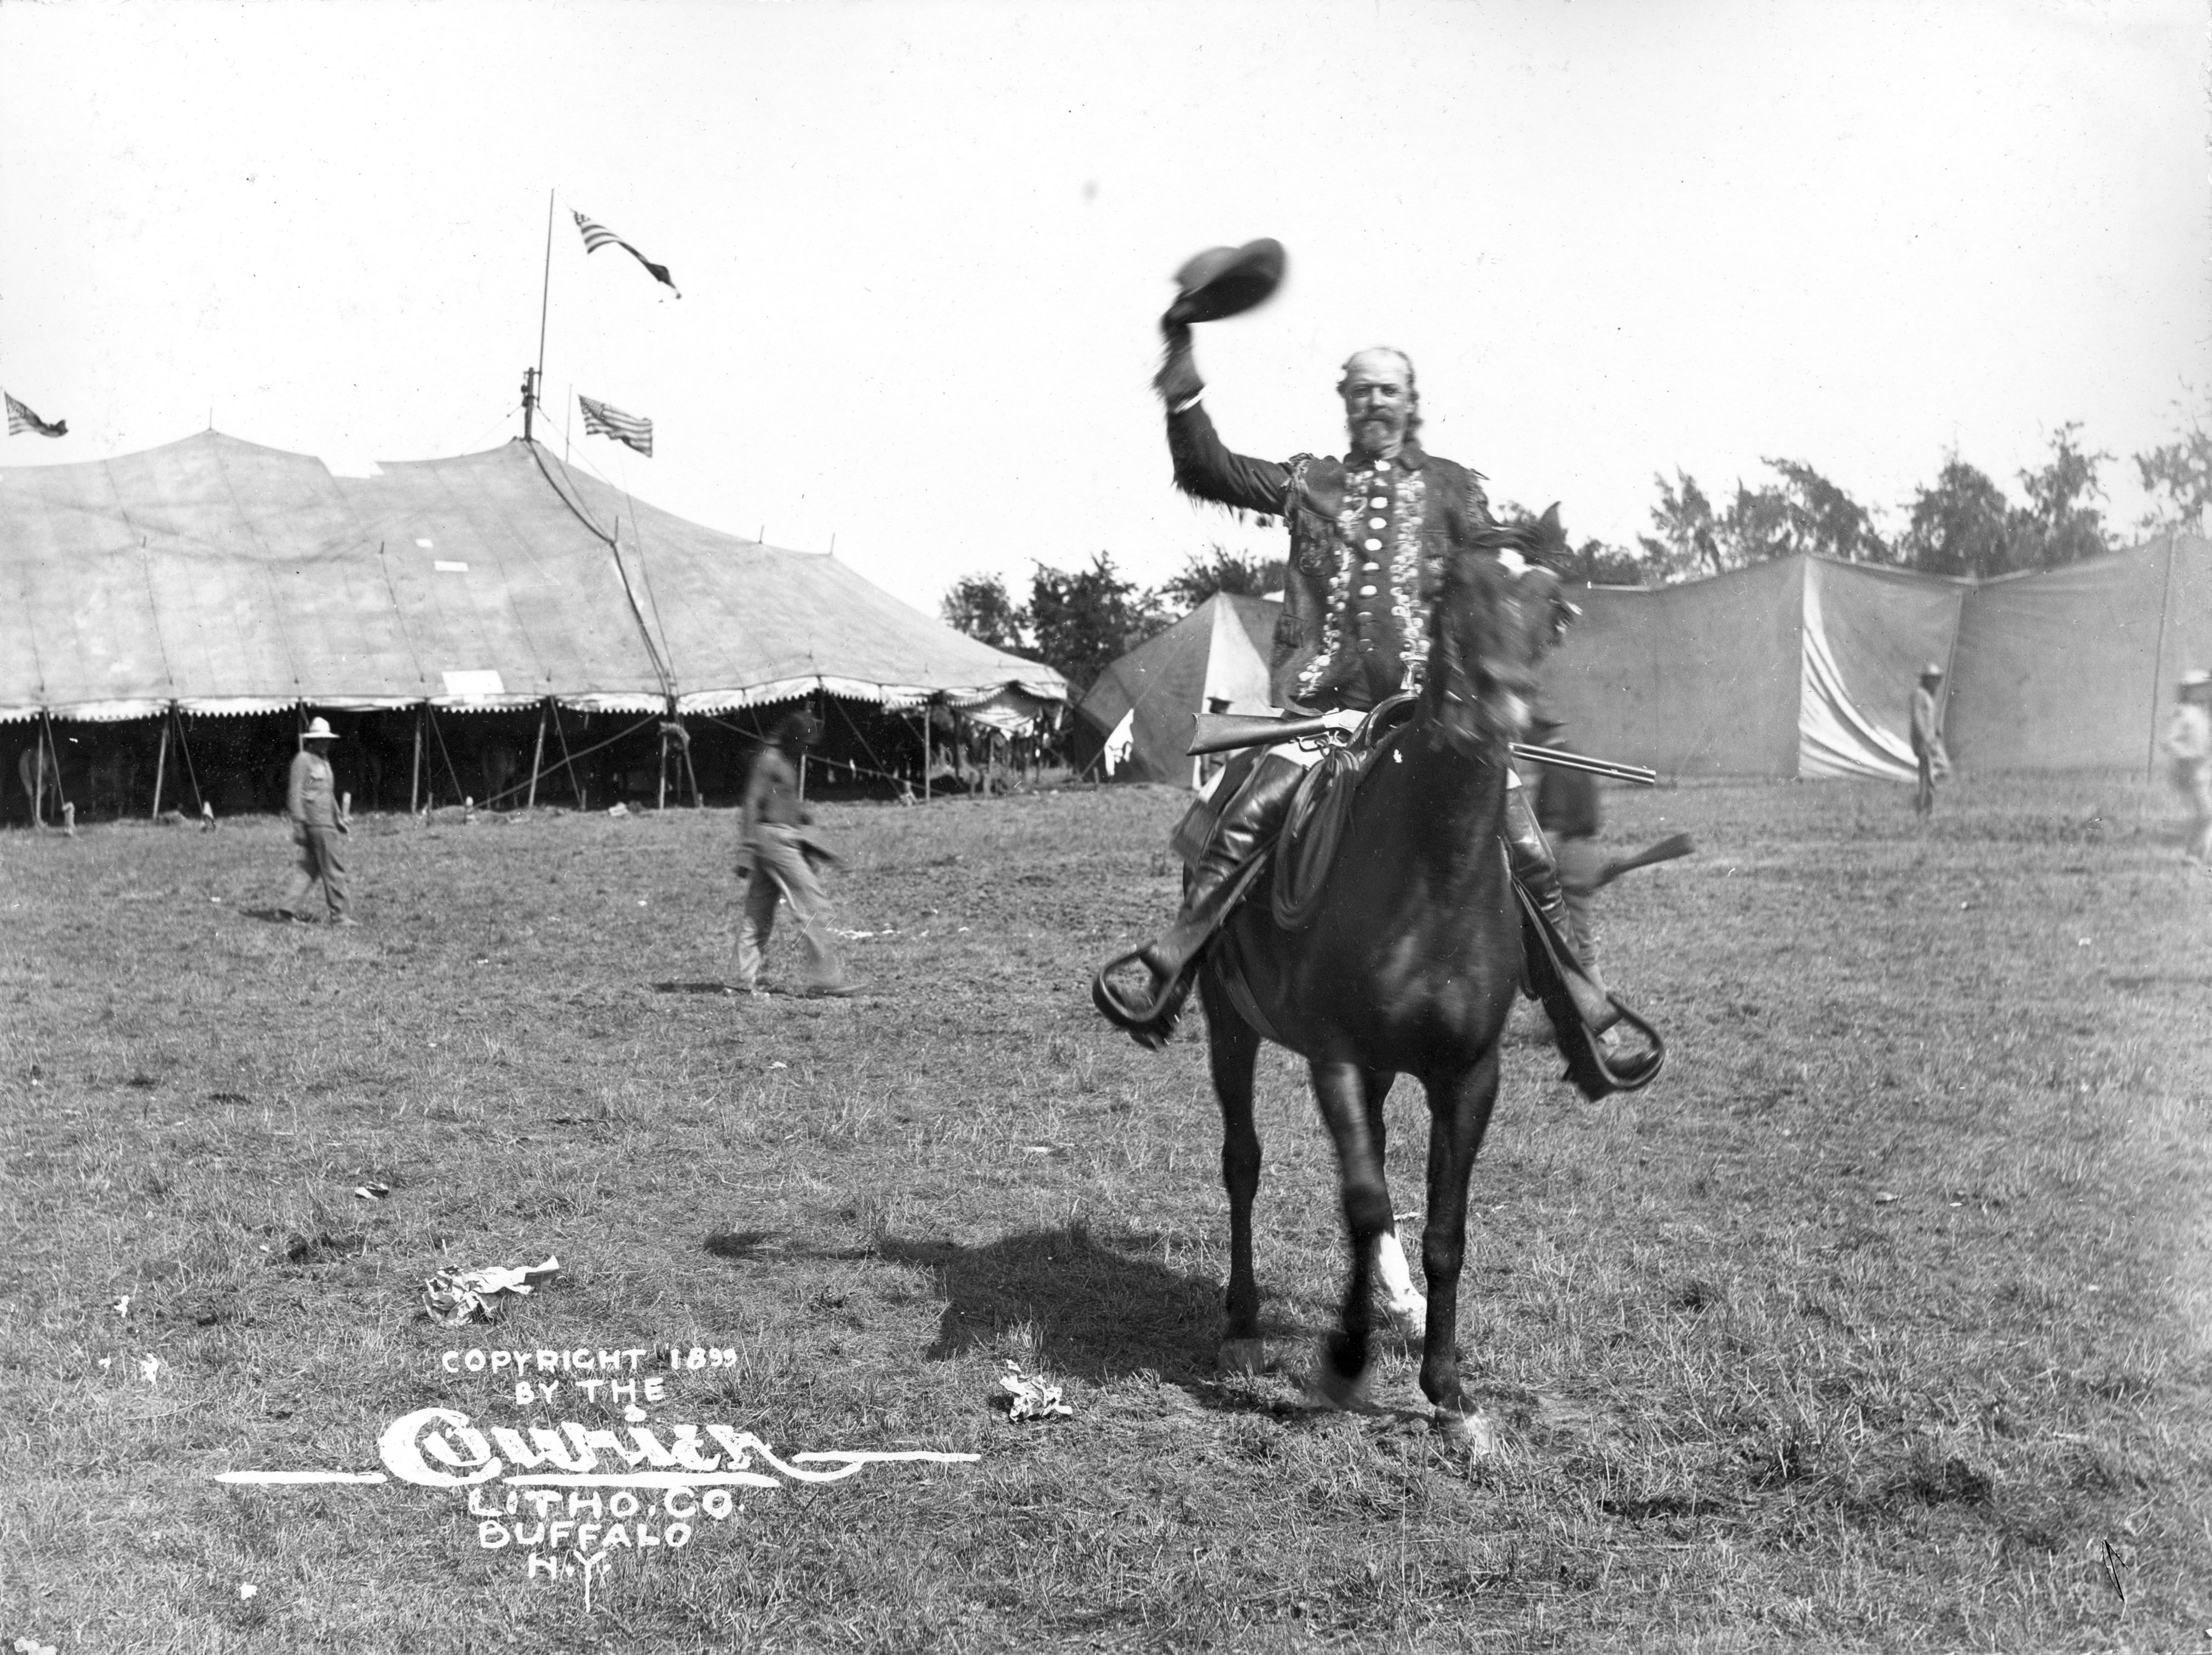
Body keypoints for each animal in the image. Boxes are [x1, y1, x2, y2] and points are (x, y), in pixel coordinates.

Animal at [1194, 542, 1575, 1451]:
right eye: (1454, 595)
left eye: (1552, 608)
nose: (1498, 708)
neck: (1433, 879)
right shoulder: (1334, 1056)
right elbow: (1364, 1199)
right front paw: (1344, 1355)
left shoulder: (1468, 1076)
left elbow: (1441, 1228)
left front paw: (1448, 1387)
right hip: (1231, 1027)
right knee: (1243, 1161)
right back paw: (1243, 1323)